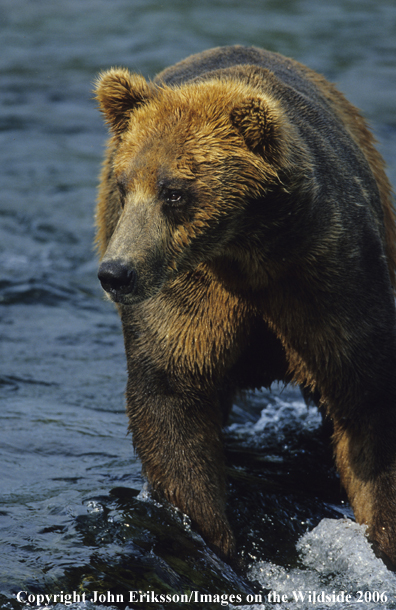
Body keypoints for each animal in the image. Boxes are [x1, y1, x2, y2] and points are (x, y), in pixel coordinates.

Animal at [94, 45, 396, 564]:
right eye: (122, 185)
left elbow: (365, 400)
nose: (116, 272)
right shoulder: (189, 296)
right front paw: (212, 535)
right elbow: (171, 395)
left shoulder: (328, 273)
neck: (245, 251)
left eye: (174, 192)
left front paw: (382, 534)